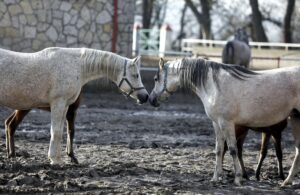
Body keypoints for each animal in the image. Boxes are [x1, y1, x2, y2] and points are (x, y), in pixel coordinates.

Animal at [0, 47, 148, 165]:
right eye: (136, 75)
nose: (145, 96)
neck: (77, 66)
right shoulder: (58, 103)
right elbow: (56, 131)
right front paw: (55, 159)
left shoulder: (65, 106)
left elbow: (62, 131)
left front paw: (59, 158)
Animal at [150, 56, 300, 186]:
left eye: (156, 78)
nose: (151, 100)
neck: (214, 86)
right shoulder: (217, 123)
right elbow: (219, 149)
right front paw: (216, 177)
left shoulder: (226, 123)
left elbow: (233, 149)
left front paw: (238, 178)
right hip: (295, 119)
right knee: (298, 150)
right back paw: (287, 181)